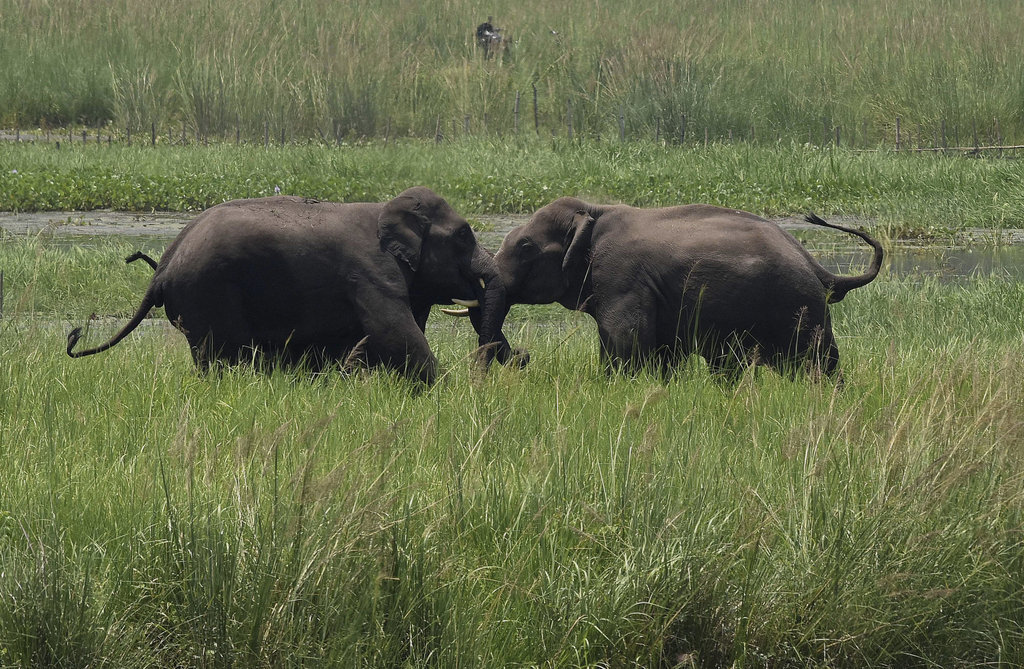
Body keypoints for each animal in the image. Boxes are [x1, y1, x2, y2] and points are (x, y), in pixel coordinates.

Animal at [68, 185, 524, 383]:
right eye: (463, 235)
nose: (524, 358)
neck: (387, 210)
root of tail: (162, 267)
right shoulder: (371, 273)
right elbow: (396, 334)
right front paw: (446, 390)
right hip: (208, 293)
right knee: (221, 355)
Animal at [479, 195, 880, 379]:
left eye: (526, 247)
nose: (524, 357)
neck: (594, 210)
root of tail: (818, 266)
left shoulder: (622, 276)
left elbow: (627, 342)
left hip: (799, 307)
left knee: (816, 365)